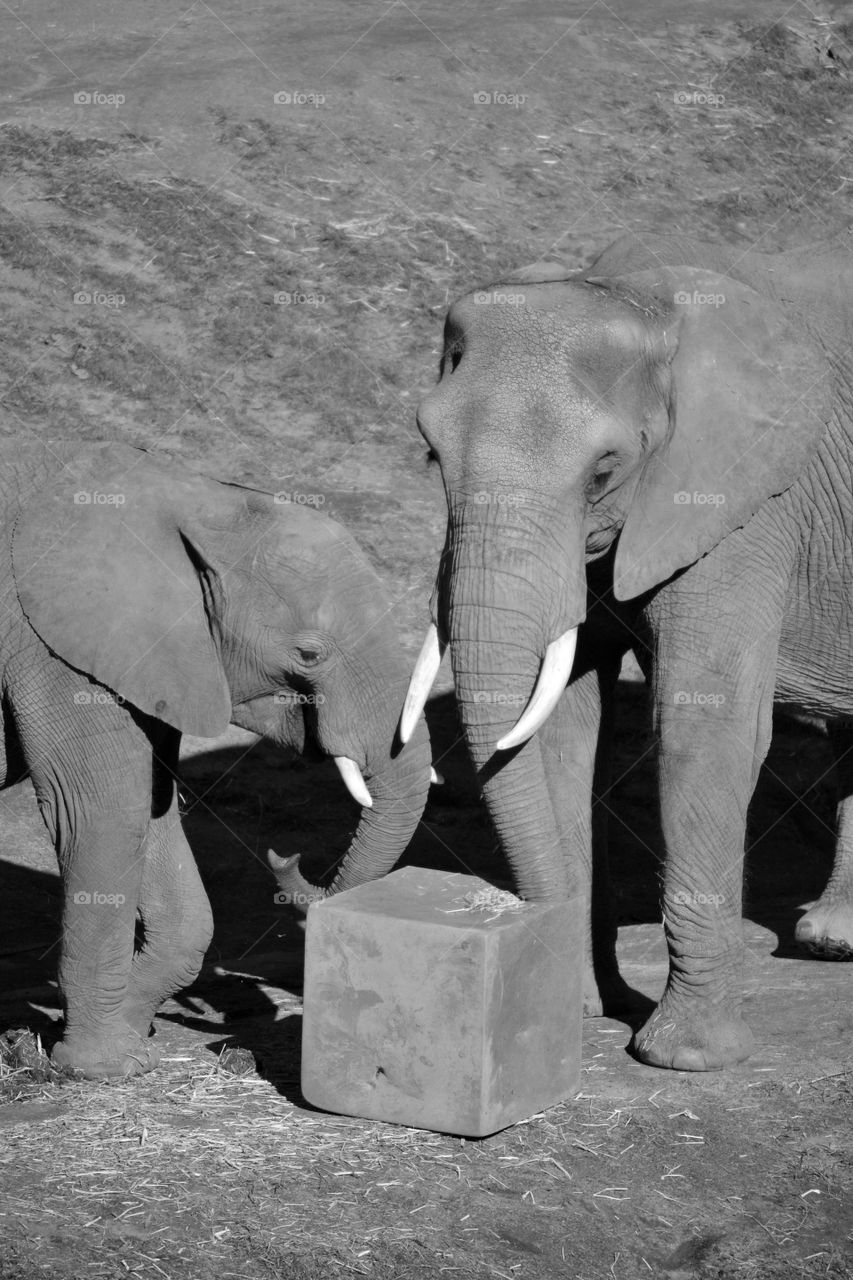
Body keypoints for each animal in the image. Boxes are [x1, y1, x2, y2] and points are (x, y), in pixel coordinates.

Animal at [1, 440, 431, 1078]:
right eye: (309, 655)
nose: (285, 855)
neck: (195, 498)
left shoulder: (155, 659)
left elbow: (152, 808)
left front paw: (131, 1034)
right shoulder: (46, 647)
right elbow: (103, 812)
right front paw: (100, 1067)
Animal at [400, 231, 853, 1071]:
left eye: (603, 470)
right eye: (431, 455)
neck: (632, 296)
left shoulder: (741, 503)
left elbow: (702, 727)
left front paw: (687, 1059)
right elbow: (560, 731)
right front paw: (575, 1010)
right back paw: (831, 942)